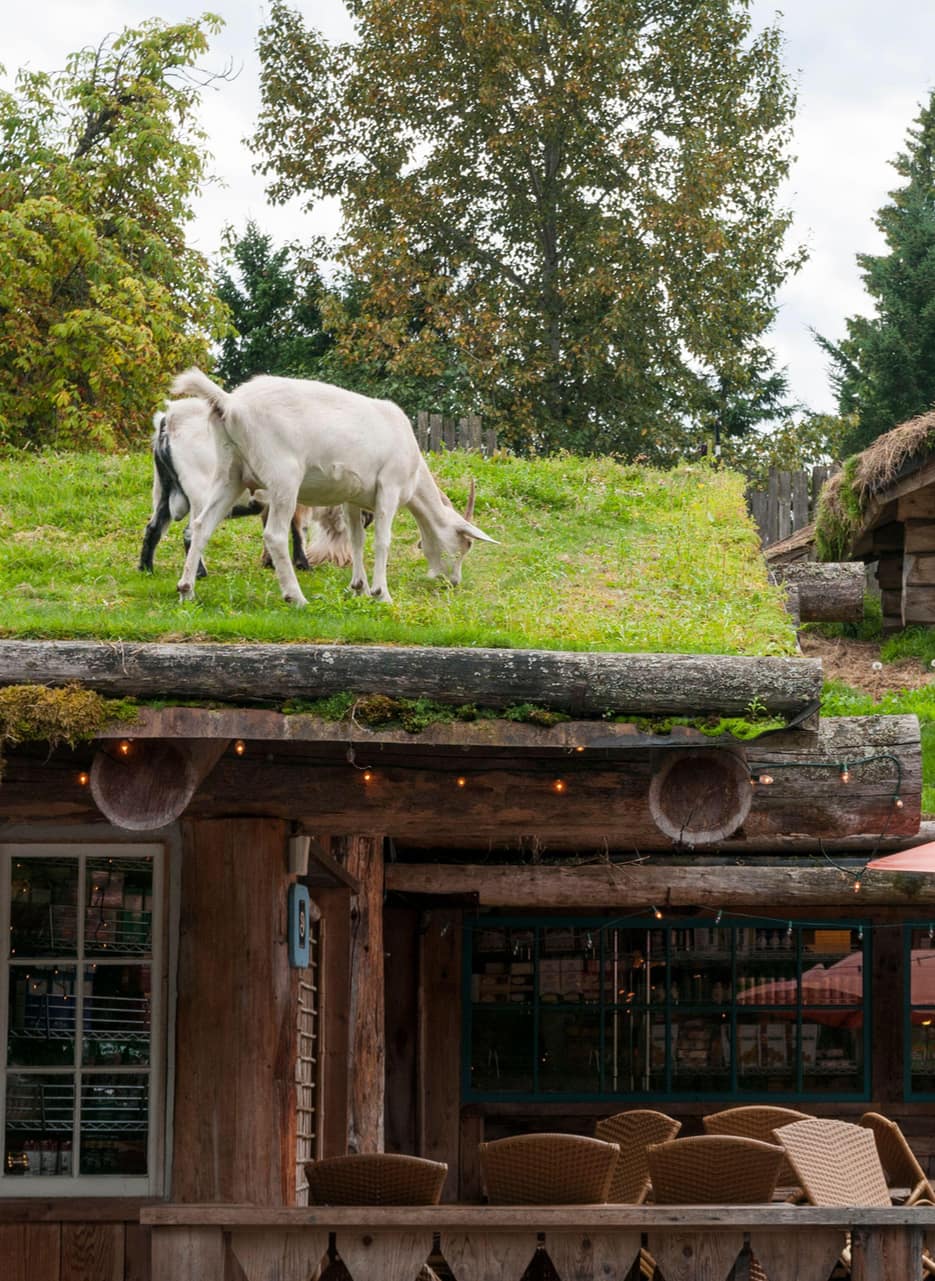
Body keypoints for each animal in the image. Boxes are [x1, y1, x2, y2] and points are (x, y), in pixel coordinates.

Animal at [139, 397, 361, 578]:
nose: (345, 561)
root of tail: (169, 418)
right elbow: (298, 530)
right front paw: (303, 564)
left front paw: (270, 562)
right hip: (201, 494)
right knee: (191, 531)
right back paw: (199, 573)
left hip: (164, 490)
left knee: (153, 528)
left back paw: (146, 569)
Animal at [170, 369, 496, 606]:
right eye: (465, 544)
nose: (453, 582)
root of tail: (229, 403)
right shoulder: (389, 487)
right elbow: (382, 540)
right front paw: (381, 594)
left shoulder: (353, 498)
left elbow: (357, 540)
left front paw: (358, 588)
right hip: (284, 477)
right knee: (274, 534)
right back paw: (296, 597)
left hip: (231, 474)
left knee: (201, 525)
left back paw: (187, 590)